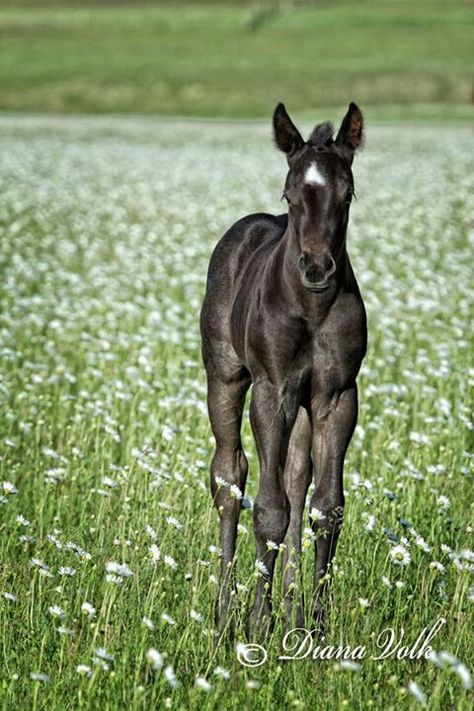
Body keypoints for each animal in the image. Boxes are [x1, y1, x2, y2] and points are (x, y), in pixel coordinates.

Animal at [200, 100, 366, 636]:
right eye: (289, 194)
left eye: (347, 194)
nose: (316, 267)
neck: (310, 309)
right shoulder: (272, 392)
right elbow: (269, 509)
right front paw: (257, 623)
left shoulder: (337, 396)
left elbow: (325, 507)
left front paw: (316, 623)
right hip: (226, 377)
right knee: (229, 477)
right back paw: (224, 613)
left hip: (304, 405)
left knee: (295, 479)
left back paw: (291, 610)